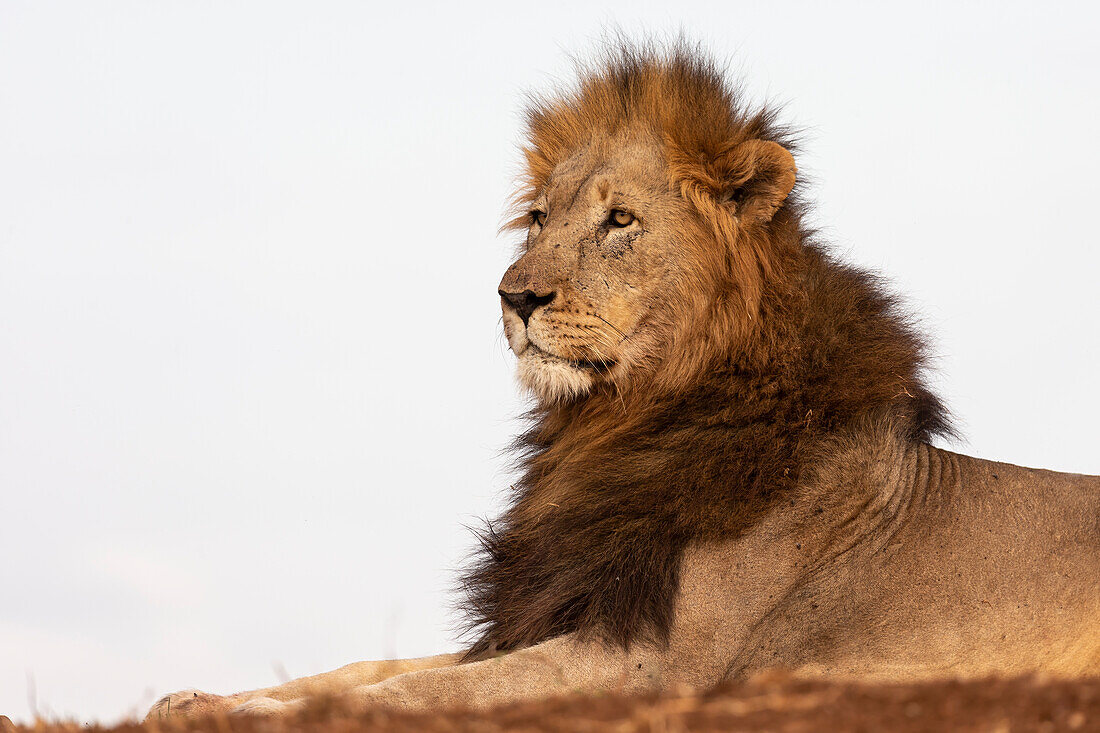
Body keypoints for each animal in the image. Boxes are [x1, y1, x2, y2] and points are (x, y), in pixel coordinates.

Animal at [148, 41, 1100, 717]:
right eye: (539, 217)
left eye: (619, 221)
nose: (514, 295)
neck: (617, 418)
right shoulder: (558, 611)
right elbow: (368, 664)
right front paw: (199, 698)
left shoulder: (653, 660)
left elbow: (422, 688)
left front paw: (249, 712)